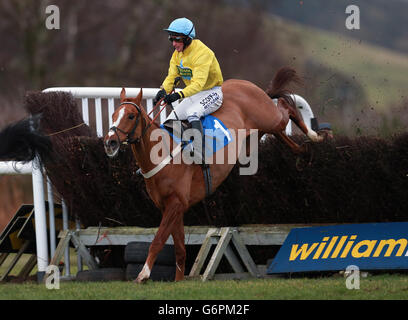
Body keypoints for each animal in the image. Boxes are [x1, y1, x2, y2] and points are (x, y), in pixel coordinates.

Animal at [103, 67, 322, 282]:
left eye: (131, 116)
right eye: (113, 115)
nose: (110, 142)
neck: (164, 154)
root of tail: (244, 83)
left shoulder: (175, 203)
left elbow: (158, 240)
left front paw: (143, 274)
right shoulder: (172, 207)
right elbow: (180, 248)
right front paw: (178, 281)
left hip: (269, 118)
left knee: (285, 108)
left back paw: (314, 135)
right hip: (253, 138)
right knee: (282, 134)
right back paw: (302, 149)